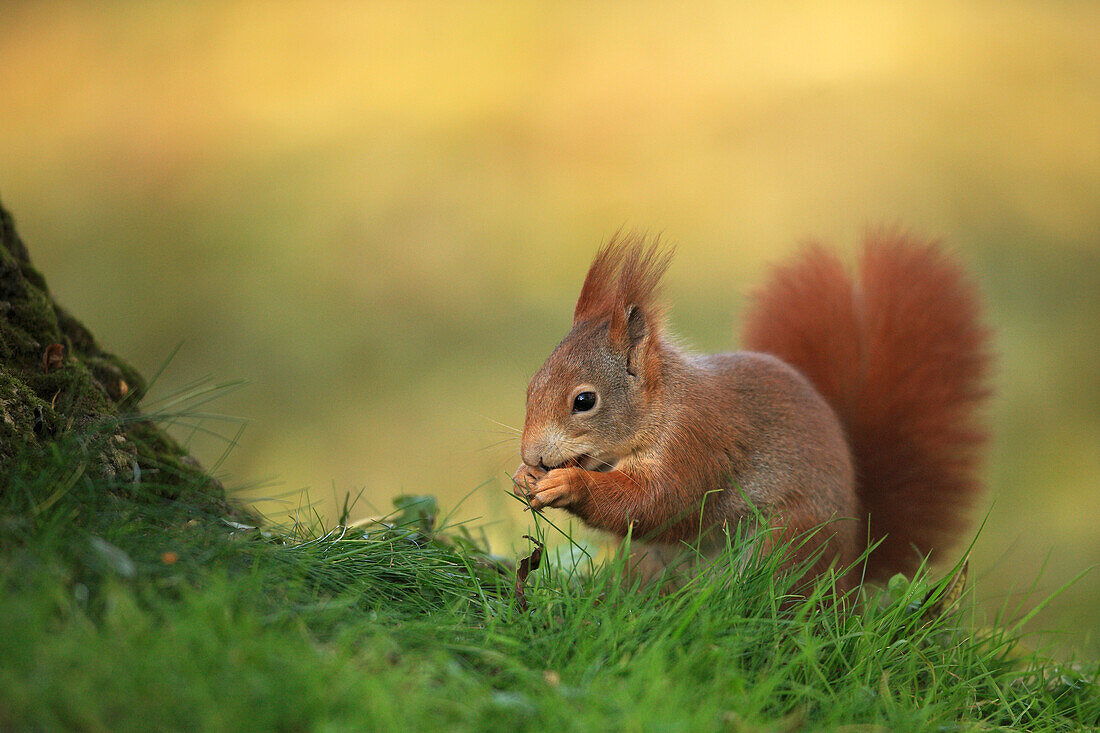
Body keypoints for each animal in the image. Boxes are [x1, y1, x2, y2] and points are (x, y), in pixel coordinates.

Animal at [510, 231, 994, 585]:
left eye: (584, 401)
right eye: (531, 387)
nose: (532, 455)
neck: (661, 404)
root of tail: (849, 578)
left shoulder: (695, 440)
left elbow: (659, 503)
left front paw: (568, 484)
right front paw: (523, 478)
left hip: (788, 543)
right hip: (649, 562)